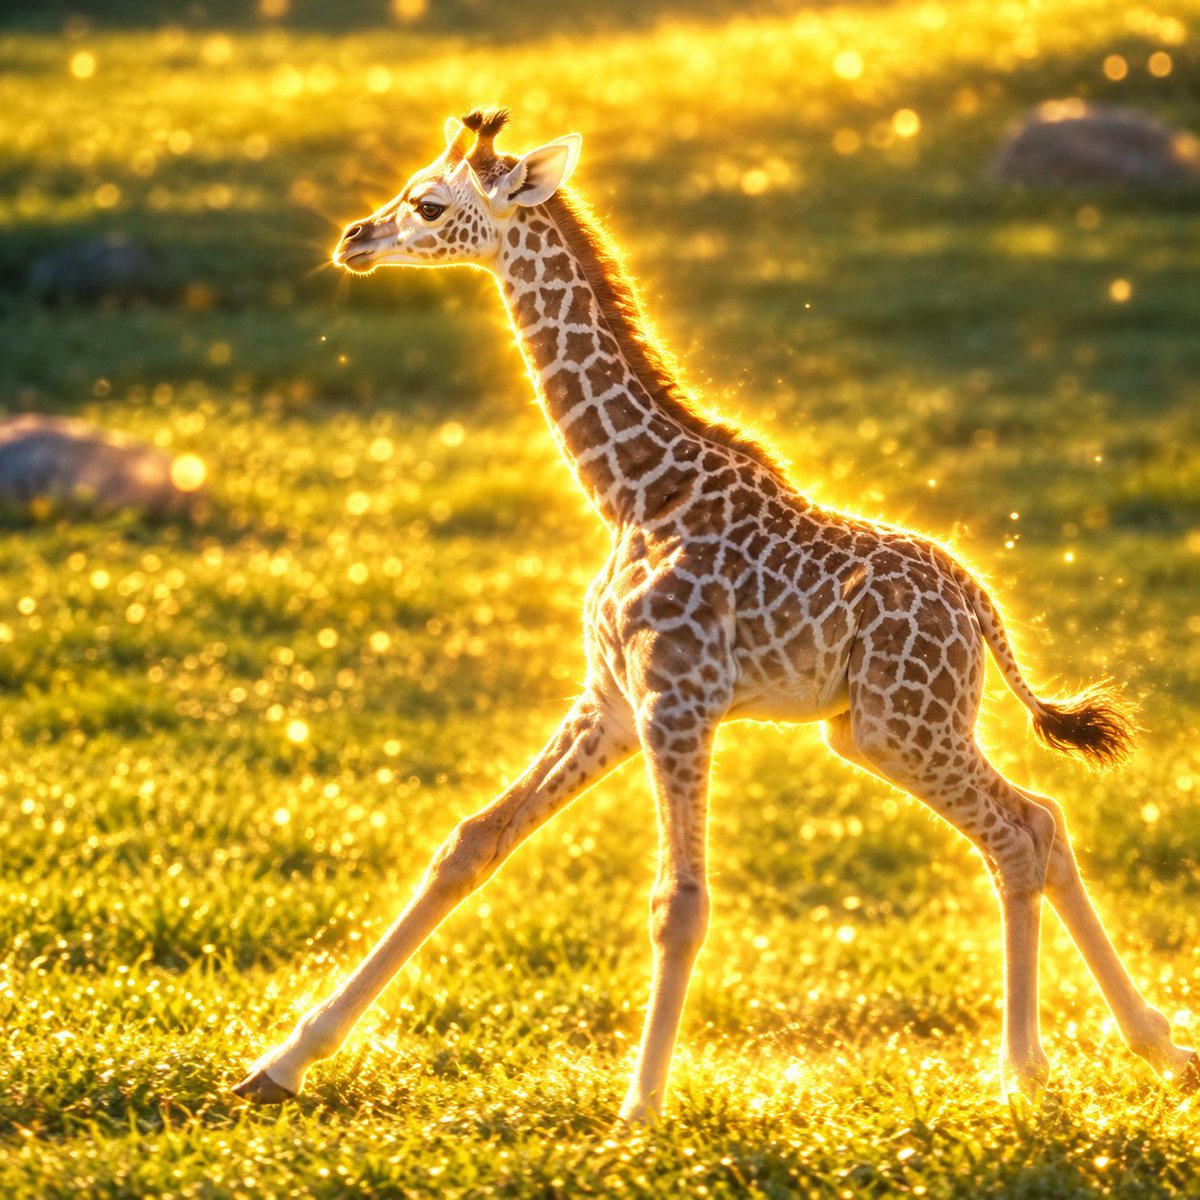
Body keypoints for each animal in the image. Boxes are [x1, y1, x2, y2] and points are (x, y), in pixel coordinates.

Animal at [234, 107, 1198, 1120]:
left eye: (427, 202)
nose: (355, 239)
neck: (630, 491)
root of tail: (980, 604)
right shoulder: (612, 700)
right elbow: (470, 843)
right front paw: (278, 1064)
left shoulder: (678, 698)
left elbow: (680, 901)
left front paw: (638, 1112)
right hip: (876, 730)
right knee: (1039, 822)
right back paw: (1140, 1050)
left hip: (904, 725)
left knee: (1019, 832)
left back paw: (1028, 1070)